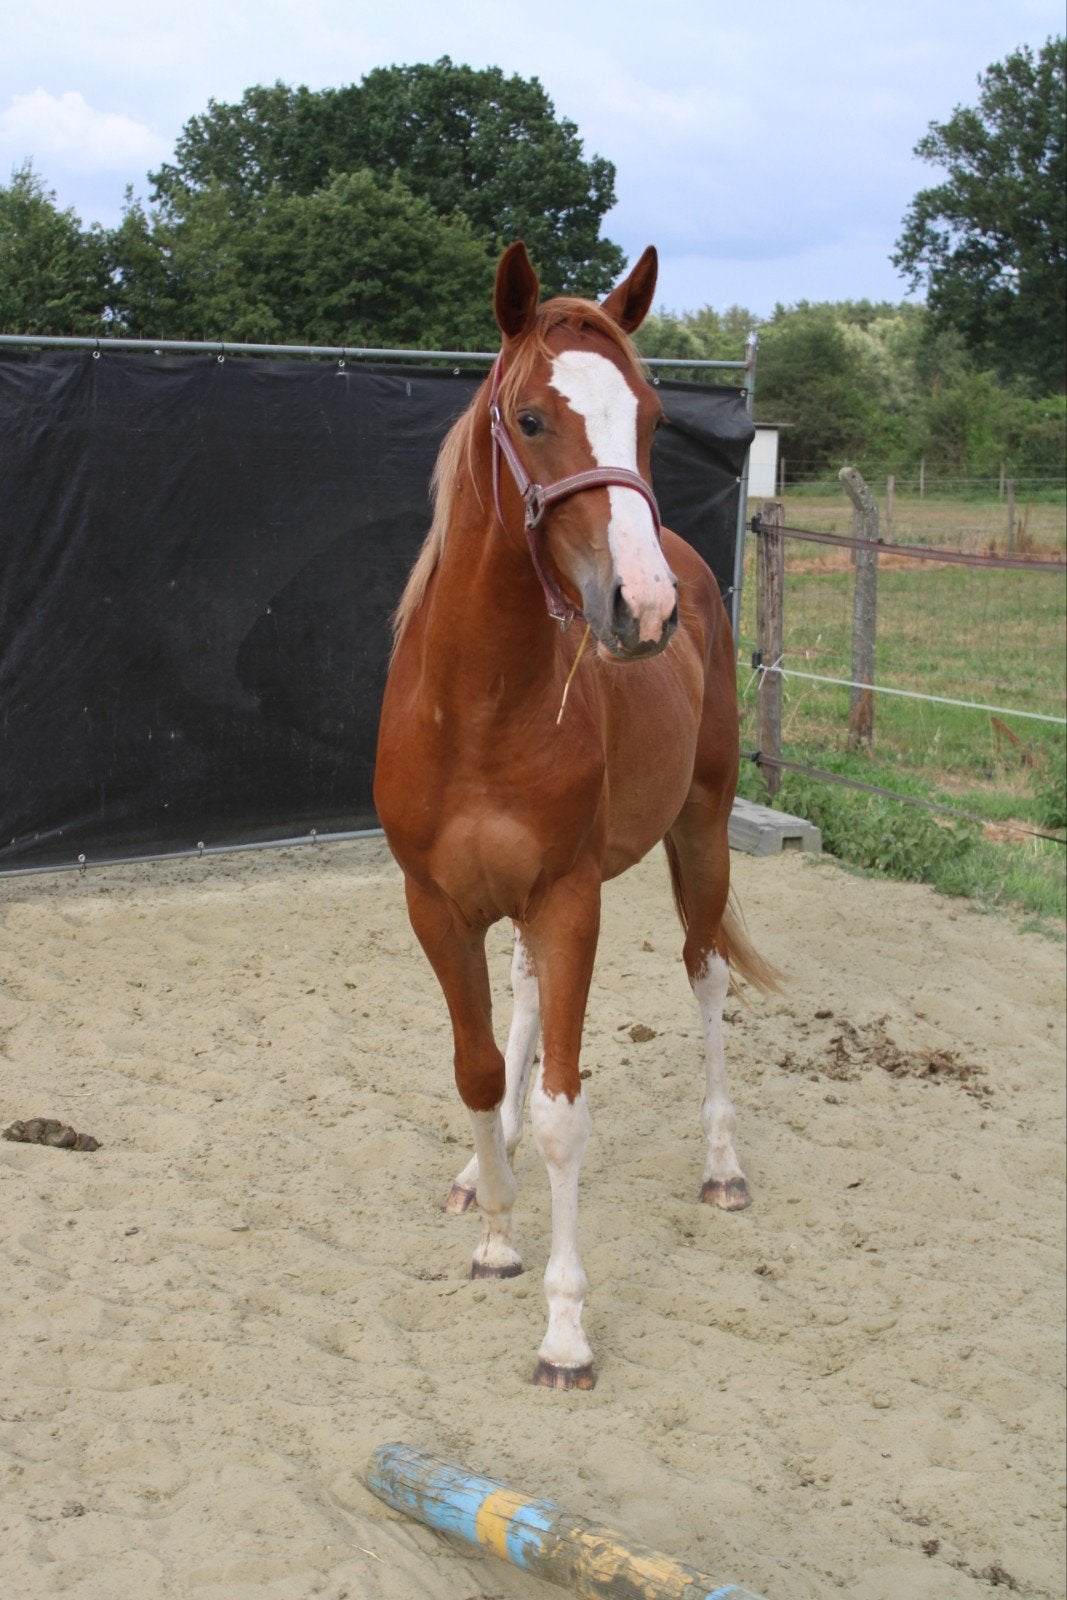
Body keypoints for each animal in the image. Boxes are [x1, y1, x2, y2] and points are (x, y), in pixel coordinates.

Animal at [374, 241, 775, 1390]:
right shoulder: (436, 905)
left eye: (649, 416)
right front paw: (492, 1226)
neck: (478, 704)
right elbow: (477, 1069)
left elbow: (561, 1113)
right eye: (531, 417)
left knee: (706, 975)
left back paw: (722, 1166)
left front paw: (563, 1328)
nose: (641, 607)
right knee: (518, 1001)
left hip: (700, 829)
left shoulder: (570, 900)